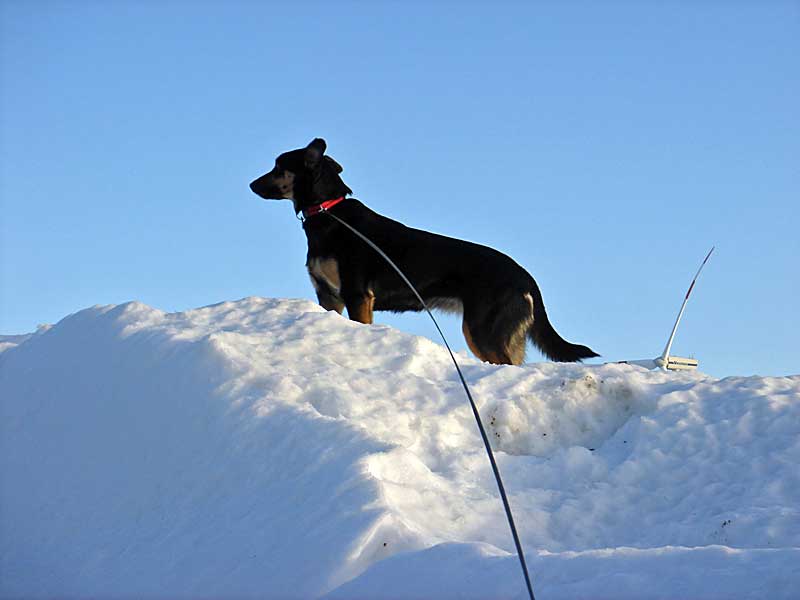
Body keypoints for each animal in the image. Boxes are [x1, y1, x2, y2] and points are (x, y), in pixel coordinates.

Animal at [249, 138, 598, 365]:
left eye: (278, 167)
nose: (251, 185)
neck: (329, 212)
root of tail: (526, 276)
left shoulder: (356, 295)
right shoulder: (328, 296)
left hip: (483, 331)